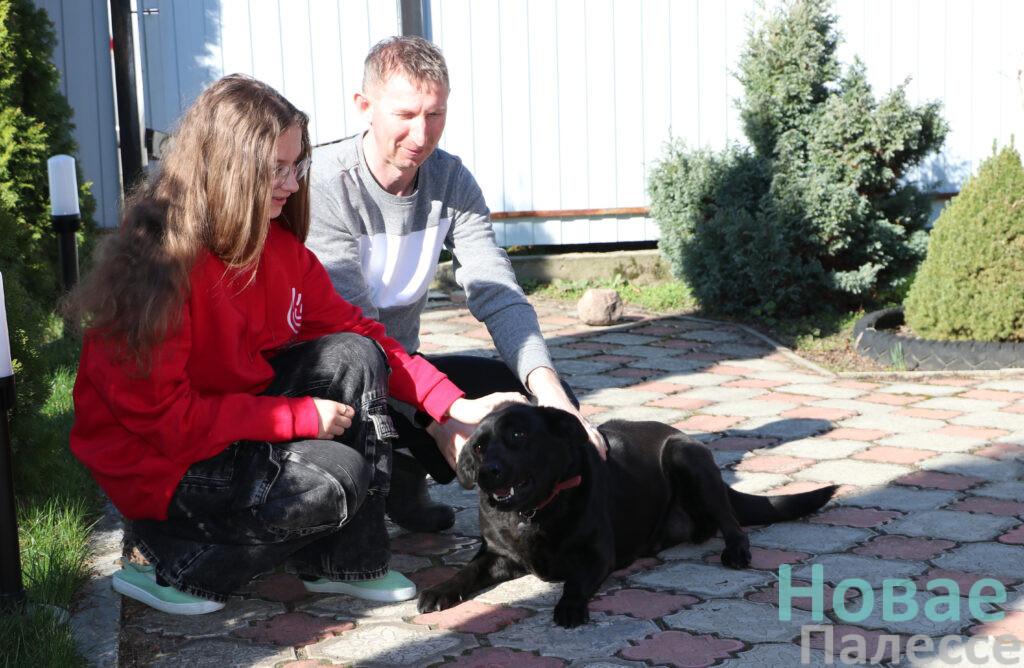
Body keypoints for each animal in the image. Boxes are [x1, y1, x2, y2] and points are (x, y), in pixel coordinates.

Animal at [417, 403, 837, 627]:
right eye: (480, 447)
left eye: (518, 435)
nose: (488, 472)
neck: (533, 511)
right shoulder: (496, 556)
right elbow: (467, 571)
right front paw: (440, 590)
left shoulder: (596, 555)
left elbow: (575, 582)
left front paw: (569, 607)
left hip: (688, 458)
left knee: (731, 522)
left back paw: (734, 550)